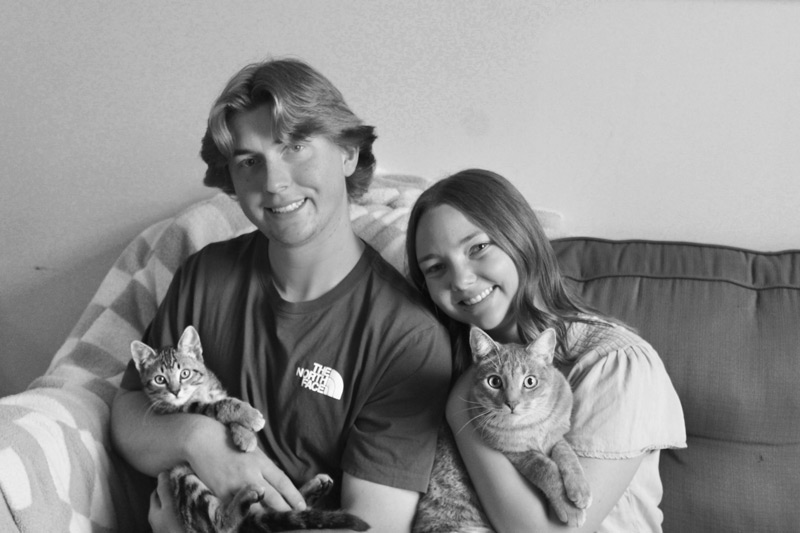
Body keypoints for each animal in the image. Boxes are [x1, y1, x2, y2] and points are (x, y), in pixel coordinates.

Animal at [131, 325, 370, 532]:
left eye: (185, 374)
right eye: (160, 379)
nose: (175, 391)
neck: (201, 390)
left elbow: (226, 405)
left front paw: (245, 433)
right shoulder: (179, 409)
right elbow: (219, 405)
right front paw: (249, 417)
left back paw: (313, 488)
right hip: (183, 476)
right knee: (221, 526)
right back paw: (243, 500)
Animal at [412, 327, 592, 532]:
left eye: (530, 381)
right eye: (494, 381)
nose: (511, 403)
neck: (530, 424)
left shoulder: (555, 436)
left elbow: (566, 453)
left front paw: (580, 489)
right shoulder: (516, 454)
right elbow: (544, 467)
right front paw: (570, 509)